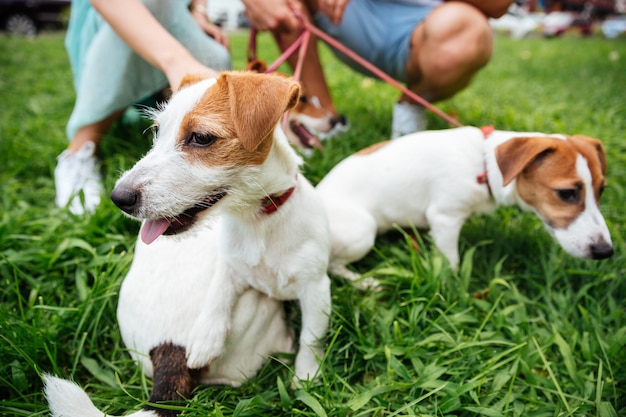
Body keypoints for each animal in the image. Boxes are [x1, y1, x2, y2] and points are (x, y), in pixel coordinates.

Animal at [42, 71, 332, 416]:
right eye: (157, 131)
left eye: (201, 137)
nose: (118, 198)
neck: (255, 221)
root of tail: (168, 349)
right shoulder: (230, 265)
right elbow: (220, 292)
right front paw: (206, 338)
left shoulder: (316, 288)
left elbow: (311, 339)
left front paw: (306, 377)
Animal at [314, 124, 612, 280]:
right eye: (567, 193)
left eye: (602, 190)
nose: (606, 252)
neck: (484, 164)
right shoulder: (445, 218)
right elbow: (452, 261)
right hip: (362, 232)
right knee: (332, 266)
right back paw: (365, 283)